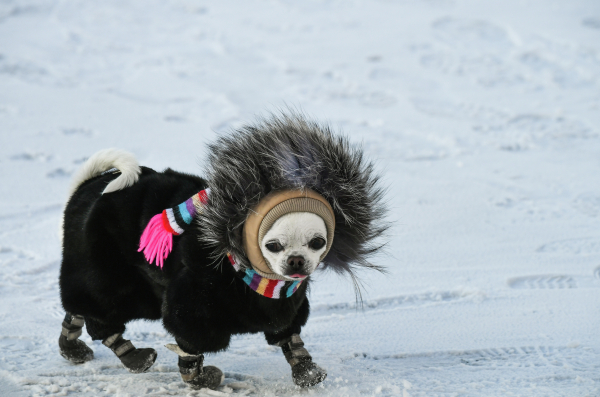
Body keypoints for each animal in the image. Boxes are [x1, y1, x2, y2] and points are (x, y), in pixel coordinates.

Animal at [58, 113, 390, 388]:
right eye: (273, 245)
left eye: (317, 242)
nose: (296, 261)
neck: (256, 276)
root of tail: (89, 185)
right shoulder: (192, 306)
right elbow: (190, 350)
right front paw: (199, 378)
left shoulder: (286, 308)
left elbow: (291, 338)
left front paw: (304, 368)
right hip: (104, 278)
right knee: (101, 321)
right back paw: (132, 355)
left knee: (77, 312)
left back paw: (71, 347)